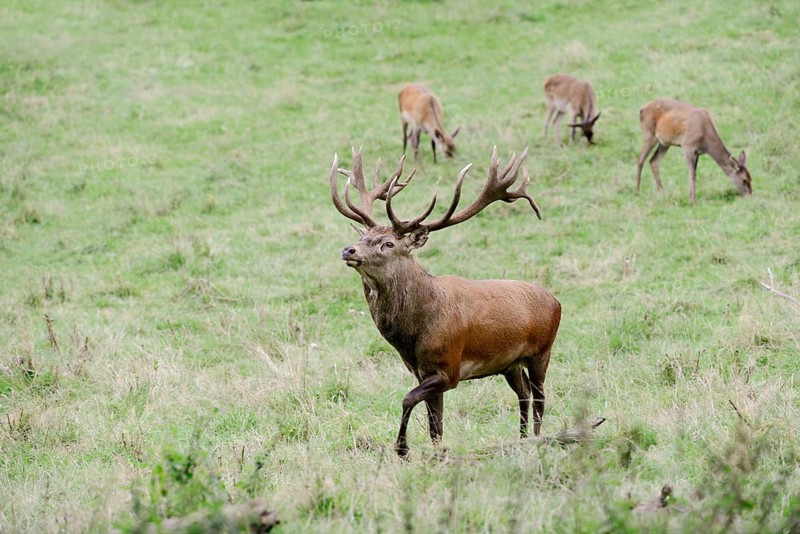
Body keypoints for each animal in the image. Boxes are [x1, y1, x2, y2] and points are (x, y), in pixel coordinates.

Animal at [330, 146, 561, 458]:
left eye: (388, 244)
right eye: (364, 236)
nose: (348, 250)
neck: (414, 334)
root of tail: (556, 301)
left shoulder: (449, 368)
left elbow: (407, 400)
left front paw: (402, 449)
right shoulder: (421, 372)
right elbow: (435, 424)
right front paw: (436, 454)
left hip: (542, 351)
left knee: (539, 397)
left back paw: (536, 438)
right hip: (510, 364)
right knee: (523, 394)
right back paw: (522, 439)